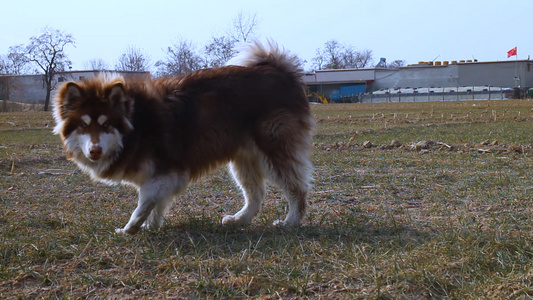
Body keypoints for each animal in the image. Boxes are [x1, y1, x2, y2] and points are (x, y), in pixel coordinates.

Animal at [53, 42, 312, 234]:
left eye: (106, 124)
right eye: (84, 126)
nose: (94, 150)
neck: (136, 123)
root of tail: (279, 71)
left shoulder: (164, 172)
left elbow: (143, 205)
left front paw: (130, 229)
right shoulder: (161, 176)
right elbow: (156, 204)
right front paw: (150, 226)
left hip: (274, 149)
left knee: (296, 188)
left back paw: (291, 221)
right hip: (243, 159)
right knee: (255, 195)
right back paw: (240, 219)